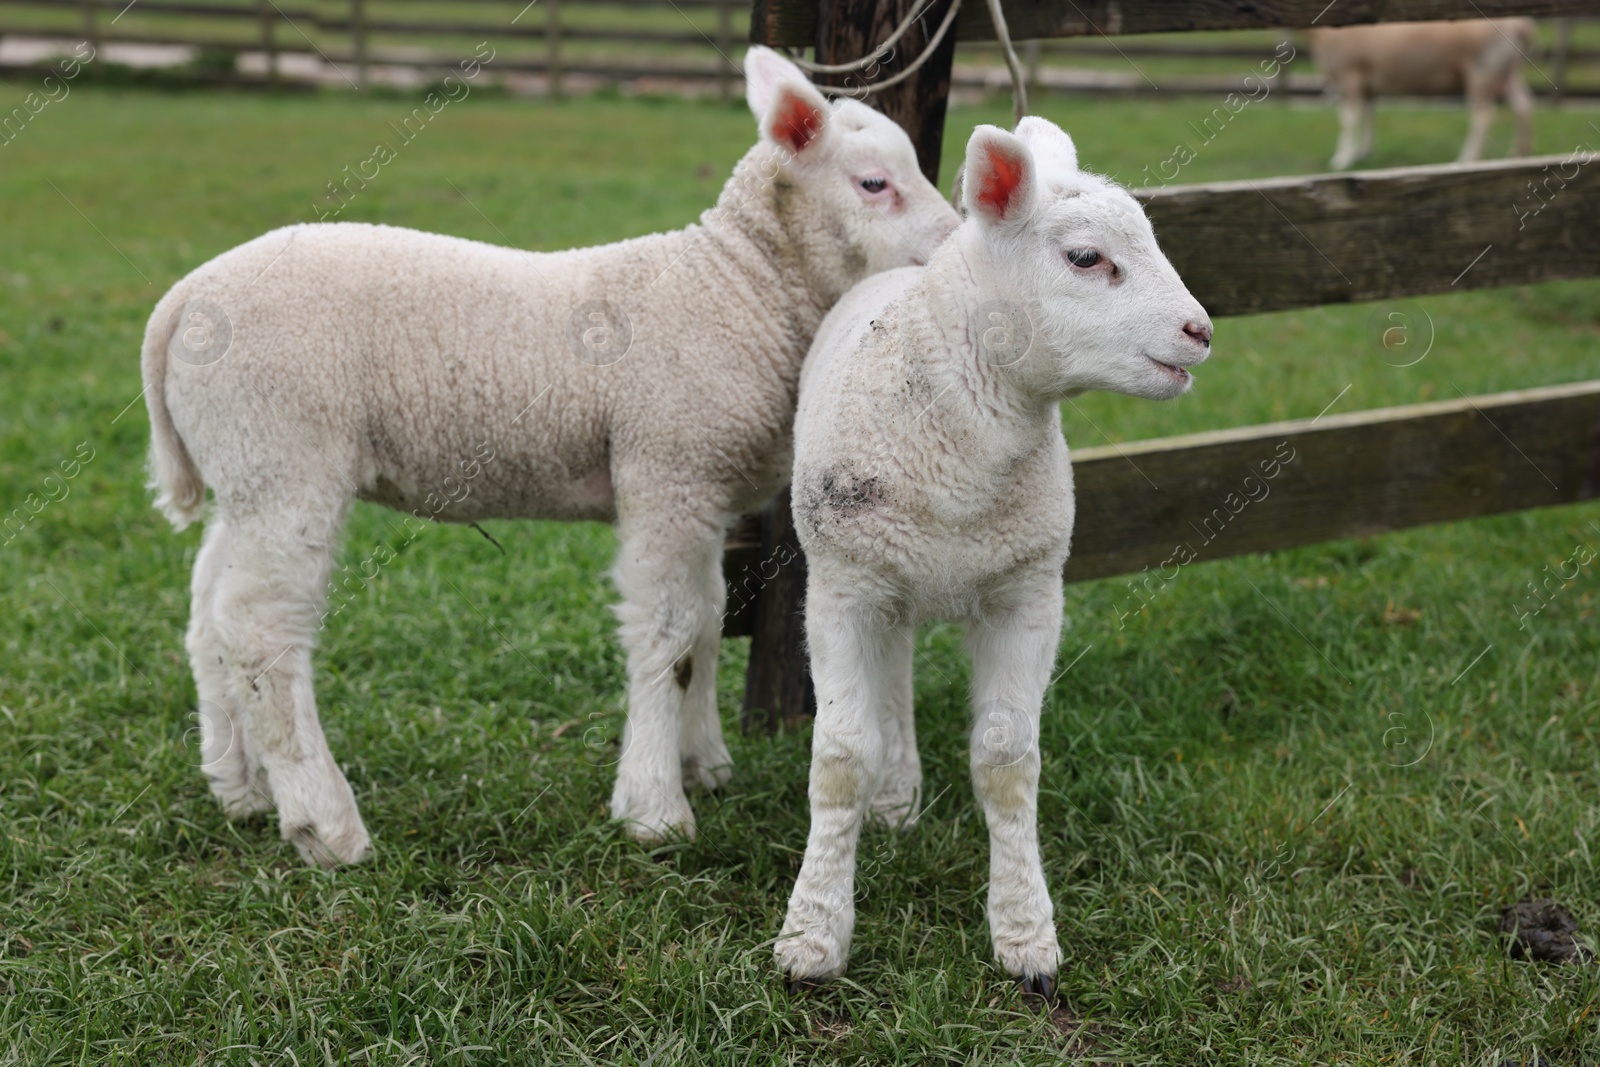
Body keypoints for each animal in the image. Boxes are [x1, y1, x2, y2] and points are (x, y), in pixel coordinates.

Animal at [140, 47, 960, 870]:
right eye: (874, 184)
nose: (957, 248)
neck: (736, 288)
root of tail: (180, 299)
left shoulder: (699, 485)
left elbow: (704, 620)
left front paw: (703, 763)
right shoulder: (666, 467)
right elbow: (669, 630)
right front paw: (655, 807)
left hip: (246, 465)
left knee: (209, 613)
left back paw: (240, 786)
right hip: (287, 455)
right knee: (260, 629)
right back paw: (324, 822)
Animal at [774, 119, 1209, 1004]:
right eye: (1086, 258)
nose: (1201, 331)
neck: (963, 466)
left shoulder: (1029, 591)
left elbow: (1008, 763)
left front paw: (1025, 936)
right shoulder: (842, 589)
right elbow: (839, 758)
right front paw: (813, 935)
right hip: (878, 569)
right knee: (891, 672)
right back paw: (893, 795)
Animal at [1305, 19, 1542, 171]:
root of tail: (1520, 24)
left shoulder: (1349, 76)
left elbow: (1349, 120)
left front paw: (1342, 159)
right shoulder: (1367, 84)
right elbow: (1368, 116)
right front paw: (1364, 152)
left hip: (1482, 71)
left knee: (1484, 116)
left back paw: (1467, 158)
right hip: (1509, 71)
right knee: (1524, 106)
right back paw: (1520, 154)